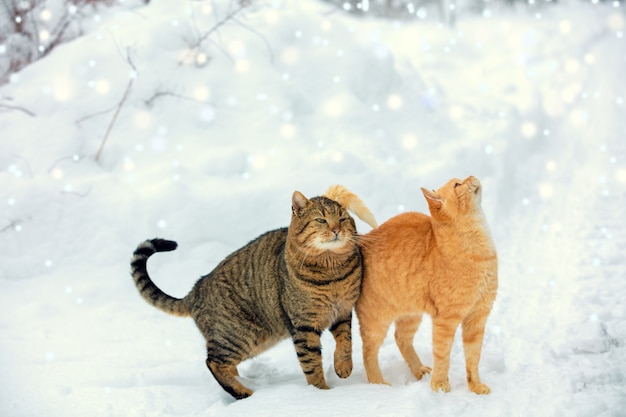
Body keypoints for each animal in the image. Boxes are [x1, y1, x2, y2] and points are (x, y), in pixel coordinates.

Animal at [131, 187, 372, 398]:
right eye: (321, 220)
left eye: (343, 218)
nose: (337, 229)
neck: (332, 271)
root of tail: (195, 290)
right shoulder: (303, 326)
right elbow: (311, 364)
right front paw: (322, 394)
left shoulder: (342, 312)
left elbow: (345, 342)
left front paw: (343, 368)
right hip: (240, 335)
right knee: (213, 362)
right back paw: (243, 392)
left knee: (225, 364)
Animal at [356, 175, 498, 394]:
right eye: (458, 185)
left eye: (460, 180)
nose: (471, 176)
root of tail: (363, 238)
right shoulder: (445, 320)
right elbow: (442, 355)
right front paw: (439, 385)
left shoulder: (478, 316)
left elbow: (473, 358)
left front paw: (475, 386)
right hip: (376, 321)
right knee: (368, 351)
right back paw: (378, 384)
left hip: (410, 315)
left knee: (401, 338)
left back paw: (419, 370)